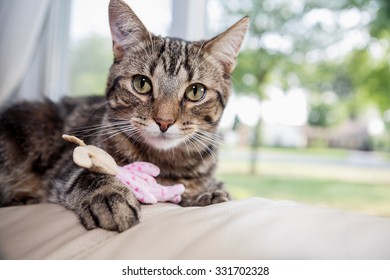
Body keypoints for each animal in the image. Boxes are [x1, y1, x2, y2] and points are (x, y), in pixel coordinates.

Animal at [0, 0, 250, 232]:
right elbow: (88, 174)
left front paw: (209, 194)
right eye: (141, 84)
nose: (164, 121)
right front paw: (108, 194)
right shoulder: (64, 171)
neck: (164, 166)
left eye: (195, 91)